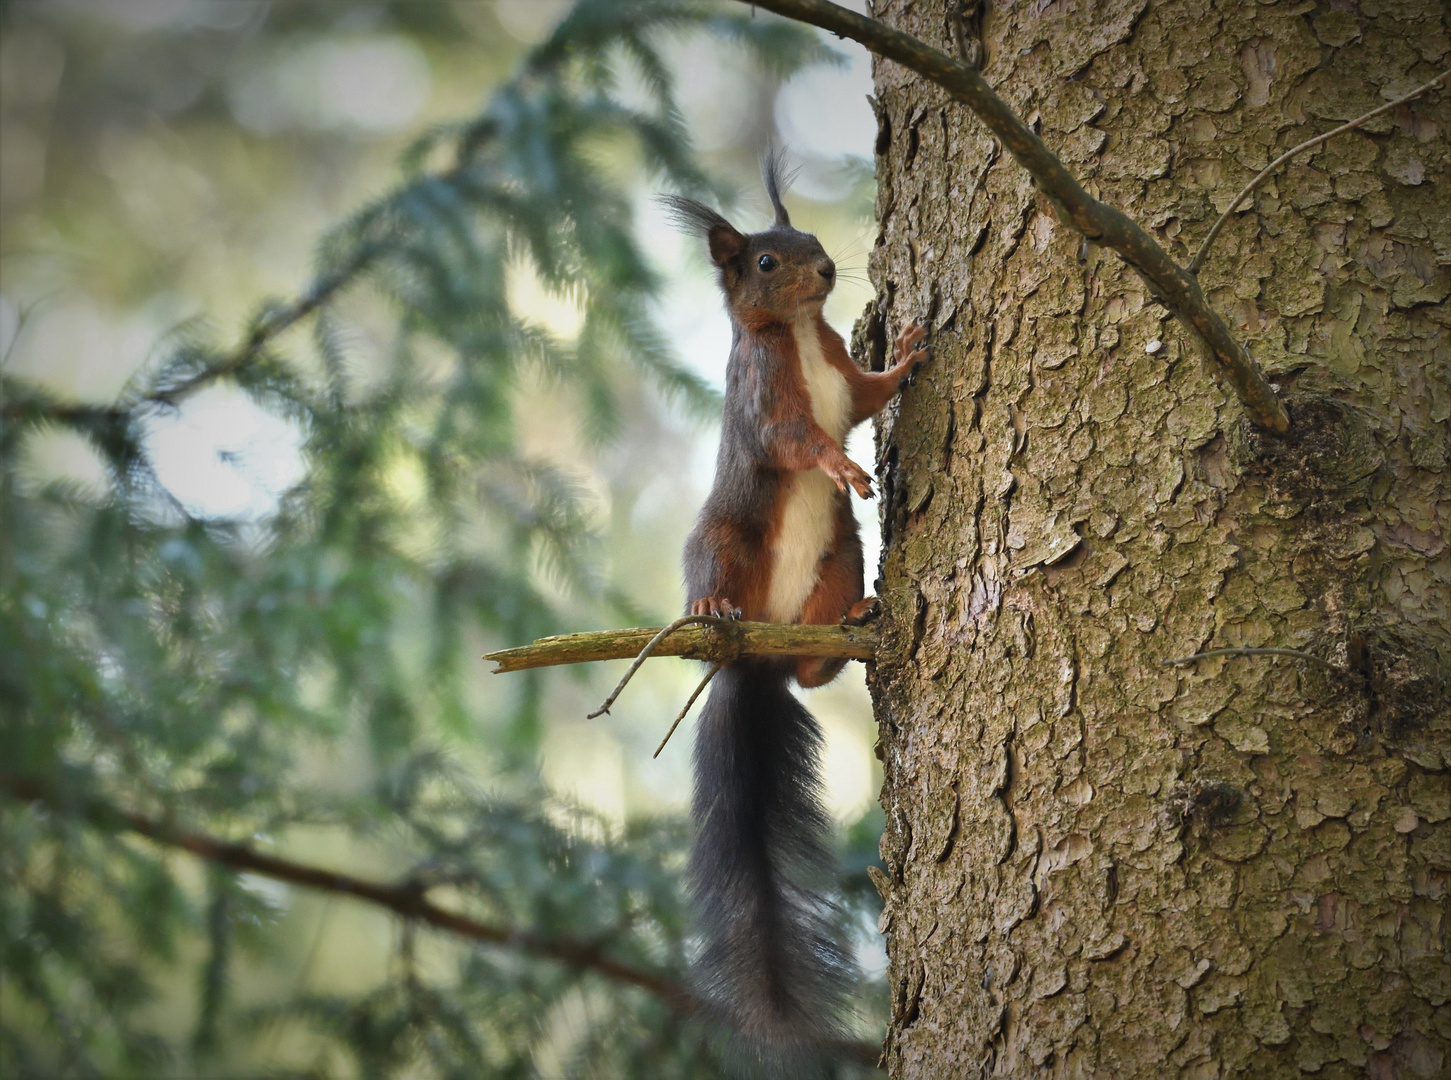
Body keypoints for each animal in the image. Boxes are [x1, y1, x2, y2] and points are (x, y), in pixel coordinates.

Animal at [661, 153, 922, 1056]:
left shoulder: (841, 372)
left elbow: (871, 394)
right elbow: (796, 441)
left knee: (811, 672)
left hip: (839, 561)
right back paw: (713, 610)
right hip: (724, 539)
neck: (802, 333)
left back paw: (845, 632)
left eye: (809, 238)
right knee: (710, 574)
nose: (828, 270)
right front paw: (839, 467)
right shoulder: (763, 397)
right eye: (766, 261)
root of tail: (756, 663)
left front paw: (908, 351)